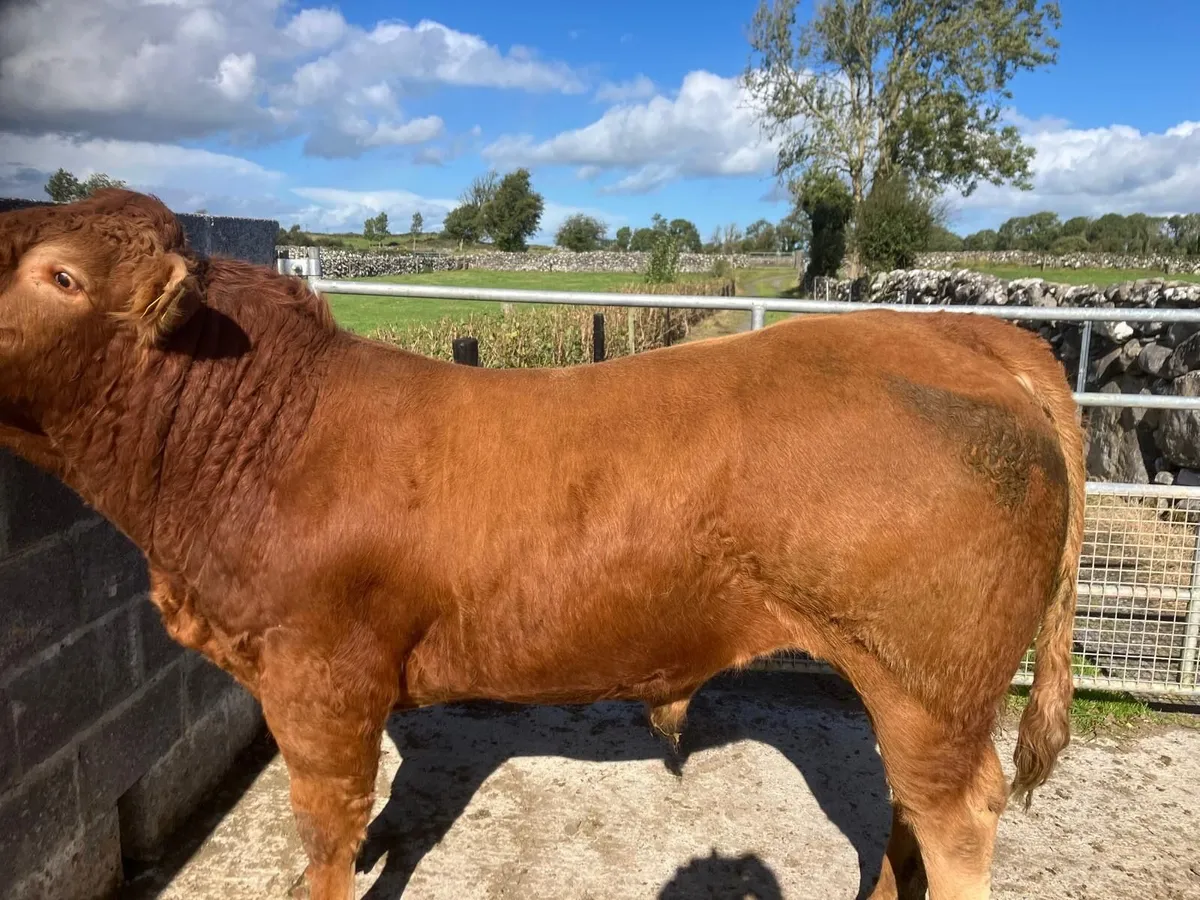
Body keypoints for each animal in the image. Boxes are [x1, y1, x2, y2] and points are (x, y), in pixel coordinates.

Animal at [0, 190, 1084, 900]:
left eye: (61, 277)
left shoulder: (319, 681)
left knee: (954, 821)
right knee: (909, 809)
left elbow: (326, 833)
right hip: (915, 687)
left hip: (927, 679)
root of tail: (960, 335)